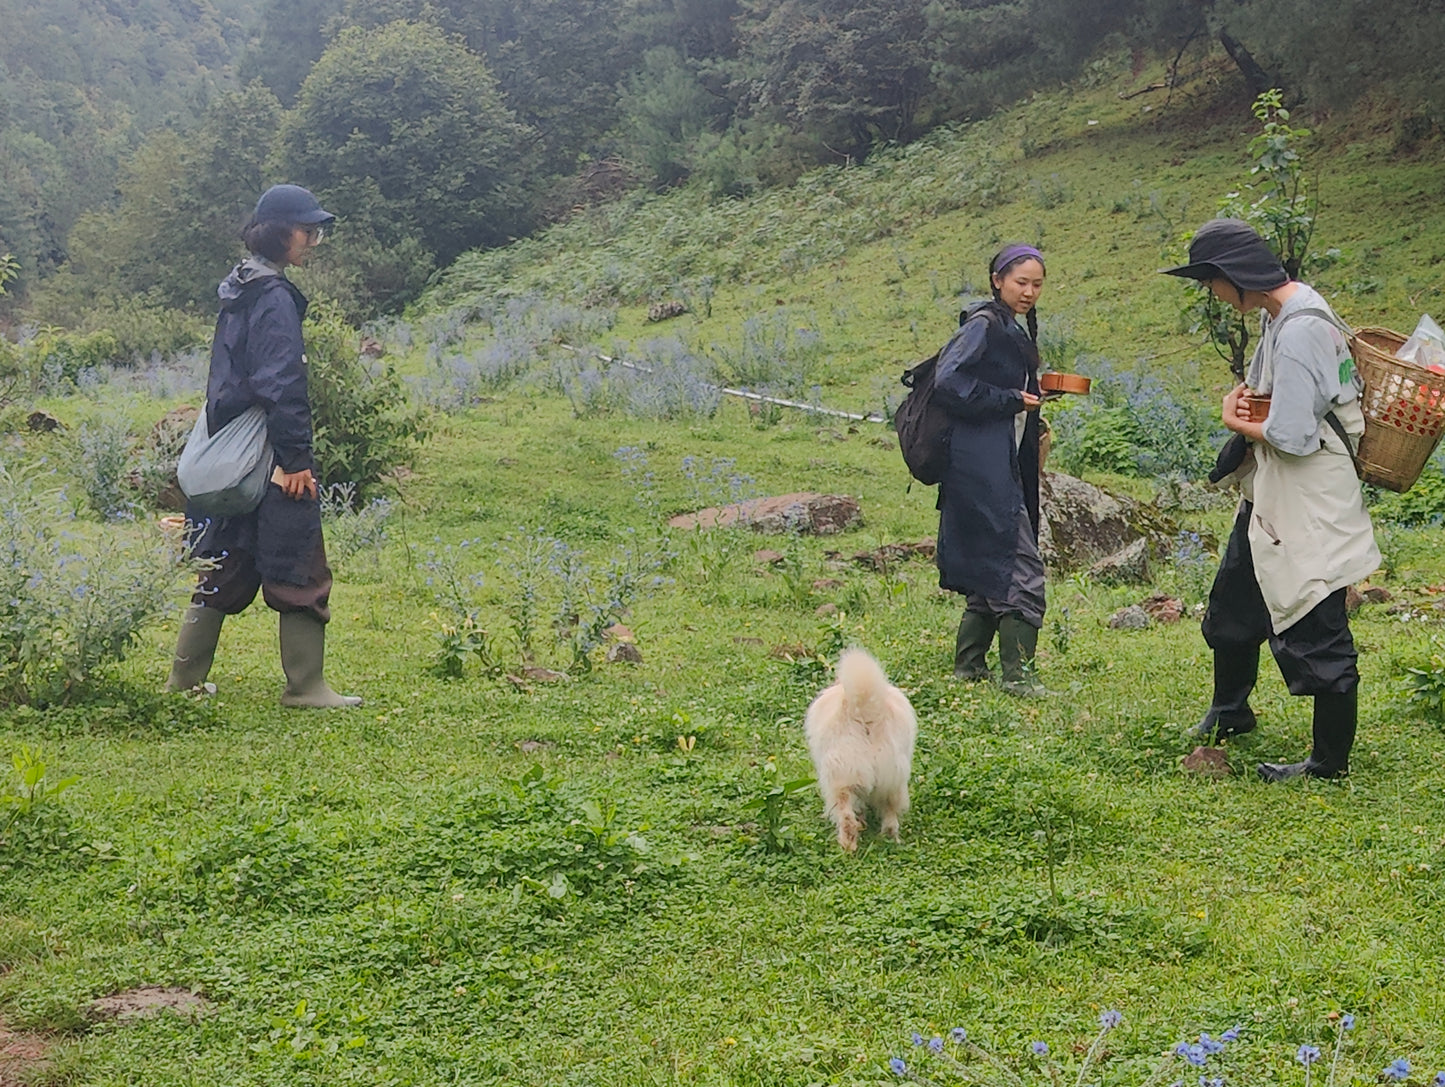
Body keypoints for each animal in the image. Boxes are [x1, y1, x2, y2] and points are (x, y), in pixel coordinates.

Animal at [803, 644, 913, 849]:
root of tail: (865, 713)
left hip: (841, 780)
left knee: (847, 818)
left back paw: (847, 847)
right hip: (892, 780)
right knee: (890, 813)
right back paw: (890, 838)